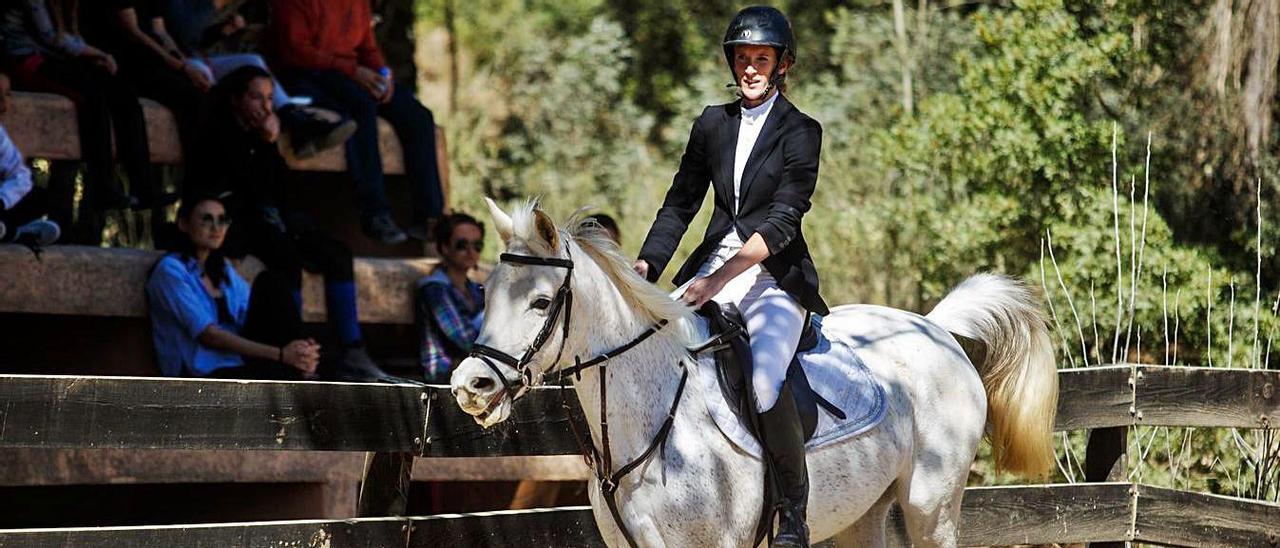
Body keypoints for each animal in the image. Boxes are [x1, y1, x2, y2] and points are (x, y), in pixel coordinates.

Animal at [453, 201, 1059, 548]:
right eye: (484, 292)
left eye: (540, 302)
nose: (470, 386)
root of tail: (933, 327)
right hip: (864, 512)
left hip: (931, 508)